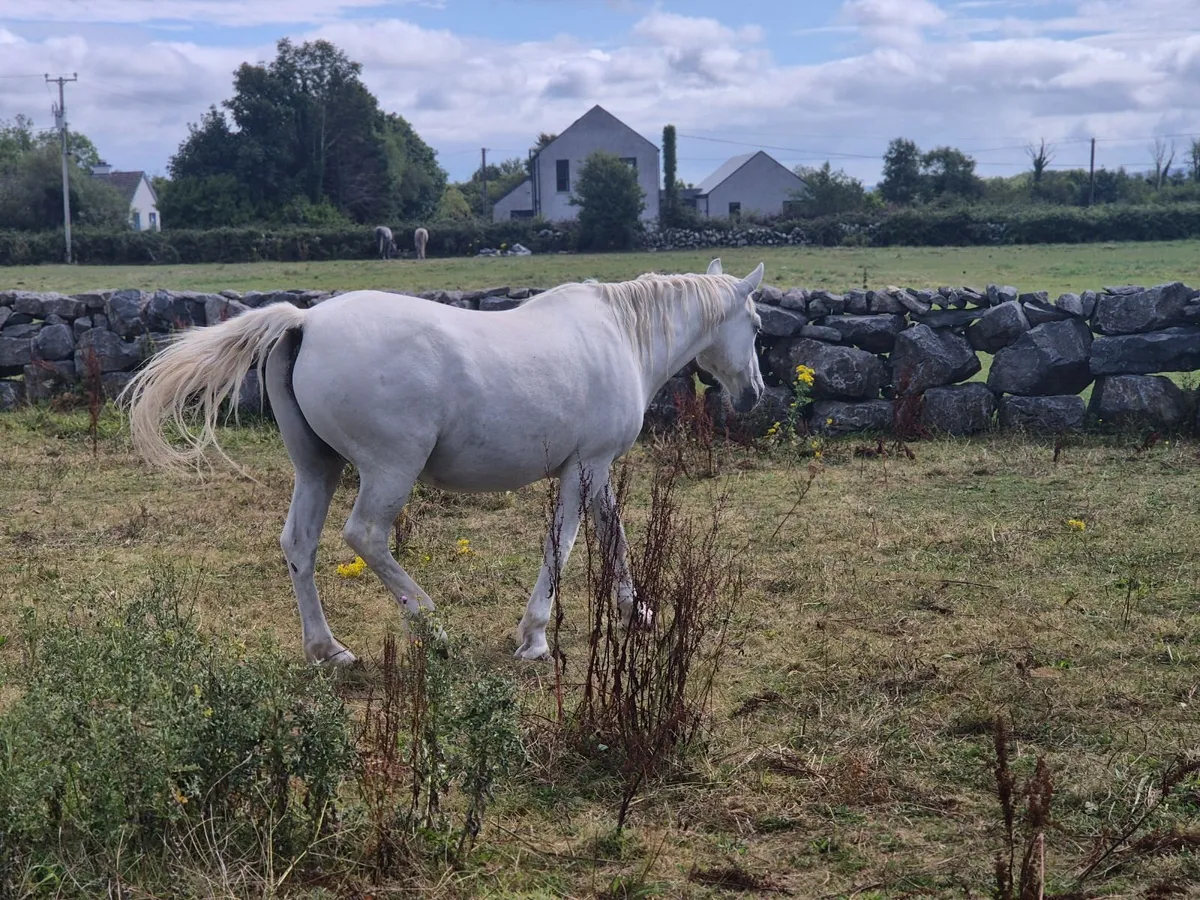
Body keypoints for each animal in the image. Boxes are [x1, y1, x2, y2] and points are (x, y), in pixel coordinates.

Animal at [119, 259, 765, 666]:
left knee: (299, 546)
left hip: (317, 468)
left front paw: (638, 610)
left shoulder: (594, 470)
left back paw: (329, 650)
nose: (755, 394)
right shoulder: (585, 467)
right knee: (366, 536)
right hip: (389, 471)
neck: (620, 336)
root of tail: (306, 321)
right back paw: (432, 625)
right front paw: (534, 637)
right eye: (757, 325)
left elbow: (614, 536)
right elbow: (564, 543)